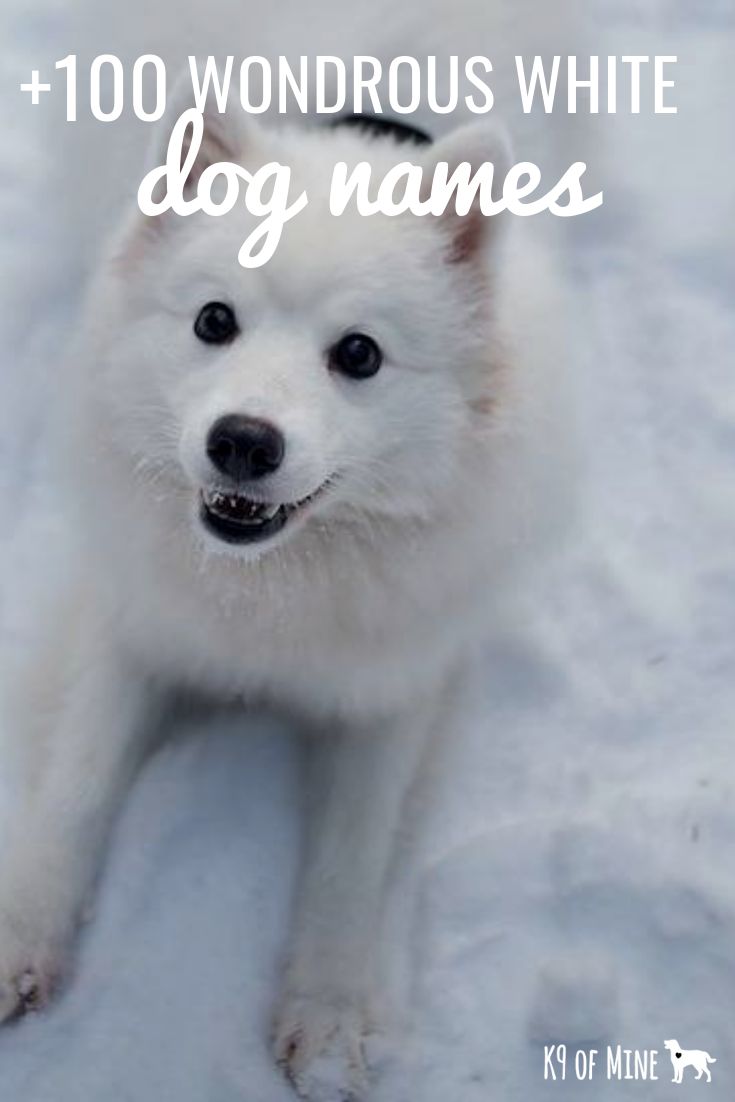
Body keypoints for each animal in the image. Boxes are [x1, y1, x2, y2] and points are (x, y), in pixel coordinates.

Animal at [0, 4, 577, 1097]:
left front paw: (330, 1016)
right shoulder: (130, 625)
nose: (242, 441)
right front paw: (19, 940)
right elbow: (74, 789)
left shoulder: (394, 688)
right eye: (213, 320)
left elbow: (351, 860)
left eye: (358, 354)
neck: (268, 591)